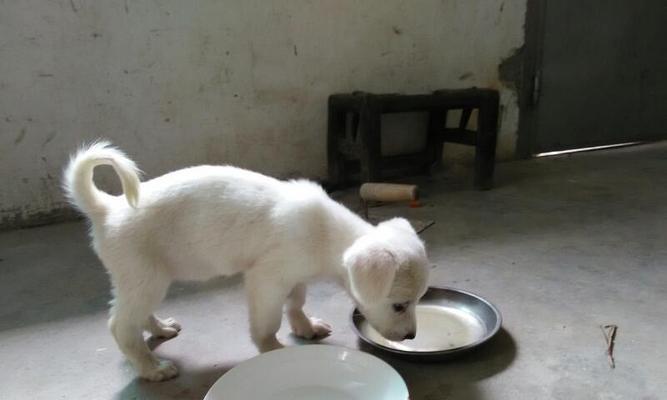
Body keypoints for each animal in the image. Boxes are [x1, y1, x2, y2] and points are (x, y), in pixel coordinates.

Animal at [61, 141, 428, 382]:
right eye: (399, 305)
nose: (412, 337)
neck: (326, 234)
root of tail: (108, 209)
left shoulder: (294, 276)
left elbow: (296, 302)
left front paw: (305, 327)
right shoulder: (267, 280)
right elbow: (267, 324)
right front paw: (273, 348)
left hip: (145, 279)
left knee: (136, 316)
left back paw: (161, 328)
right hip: (145, 278)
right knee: (121, 325)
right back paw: (152, 368)